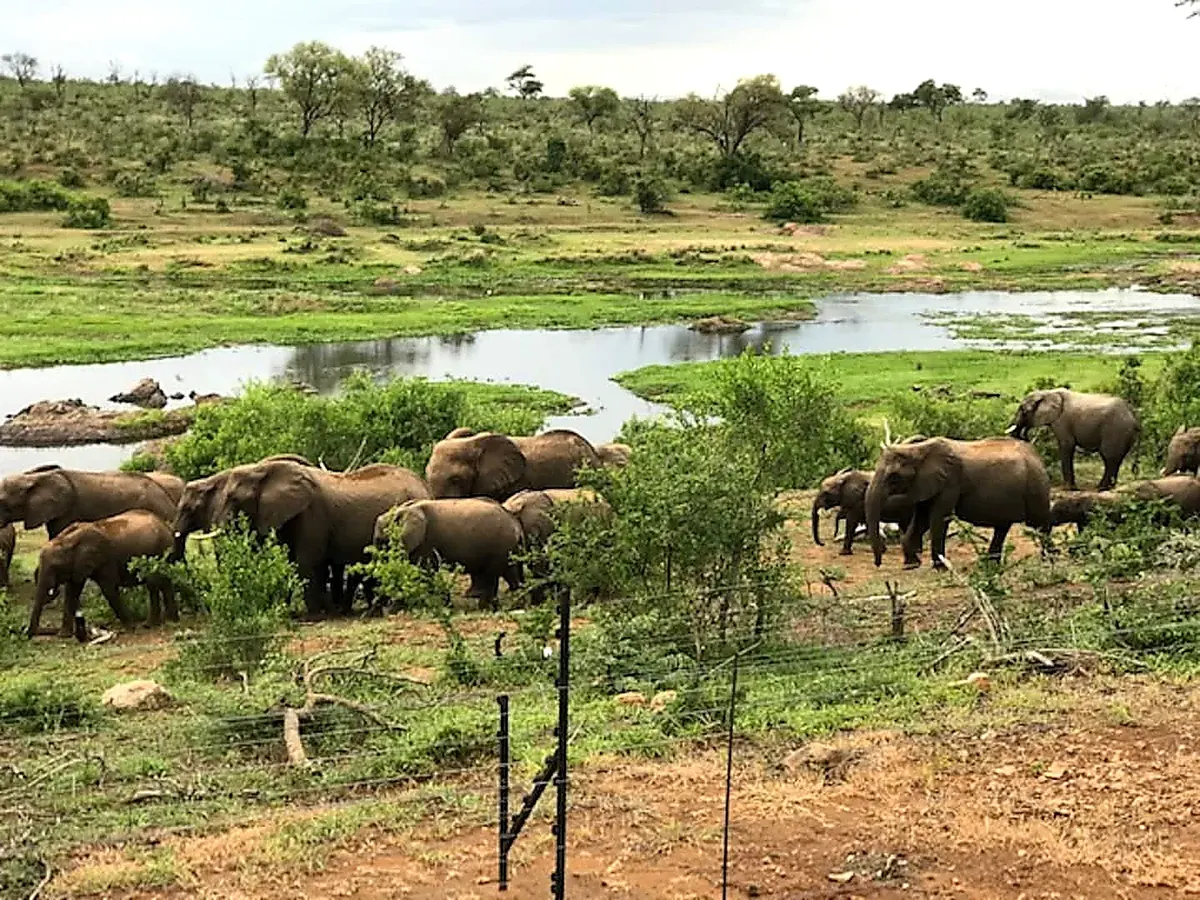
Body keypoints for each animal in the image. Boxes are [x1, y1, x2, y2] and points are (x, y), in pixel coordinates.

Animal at [27, 509, 177, 637]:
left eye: (55, 567)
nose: (28, 633)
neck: (67, 540)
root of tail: (166, 526)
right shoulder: (78, 564)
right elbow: (72, 592)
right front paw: (63, 635)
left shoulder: (104, 558)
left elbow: (108, 590)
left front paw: (131, 628)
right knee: (161, 583)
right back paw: (165, 621)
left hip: (160, 550)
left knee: (155, 583)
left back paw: (156, 623)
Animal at [213, 458, 430, 616]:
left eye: (233, 498)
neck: (262, 469)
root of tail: (423, 485)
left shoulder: (312, 513)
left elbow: (305, 562)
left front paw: (316, 615)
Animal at [374, 498, 524, 608]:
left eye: (380, 541)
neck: (402, 510)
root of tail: (515, 523)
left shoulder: (425, 542)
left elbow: (424, 571)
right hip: (506, 548)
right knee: (508, 573)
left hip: (500, 545)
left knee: (492, 575)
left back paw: (486, 607)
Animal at [867, 437, 1051, 570]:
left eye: (893, 477)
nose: (878, 563)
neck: (917, 450)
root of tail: (1037, 456)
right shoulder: (925, 484)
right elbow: (921, 519)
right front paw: (911, 565)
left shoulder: (950, 482)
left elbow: (939, 518)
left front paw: (941, 568)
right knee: (1002, 527)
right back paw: (990, 565)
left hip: (1036, 486)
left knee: (1040, 524)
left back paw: (1048, 560)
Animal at [1008, 389, 1140, 491]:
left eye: (1023, 410)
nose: (1025, 436)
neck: (1047, 393)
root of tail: (1133, 418)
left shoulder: (1062, 421)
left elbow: (1066, 445)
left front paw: (1069, 489)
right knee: (1116, 459)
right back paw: (1108, 487)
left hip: (1115, 430)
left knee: (1109, 458)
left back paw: (1101, 488)